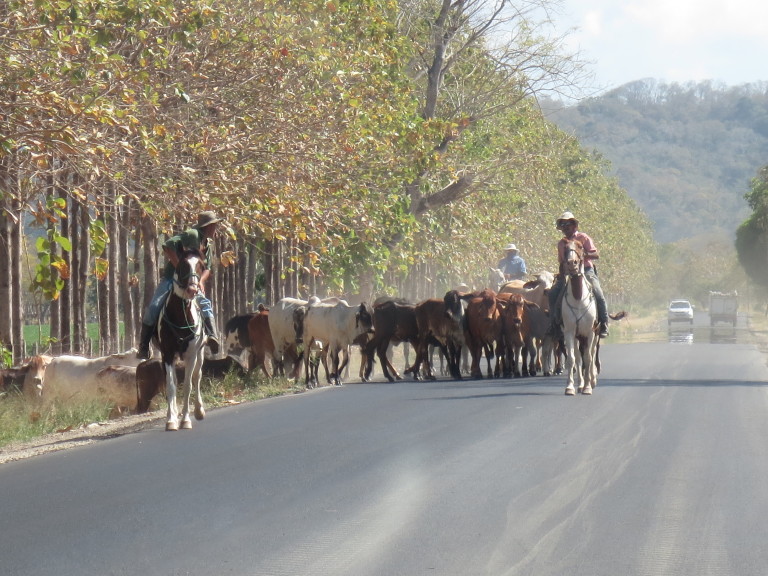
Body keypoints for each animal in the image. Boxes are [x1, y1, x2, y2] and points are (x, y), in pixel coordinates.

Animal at [158, 250, 208, 430]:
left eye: (201, 266)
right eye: (182, 265)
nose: (193, 289)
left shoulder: (192, 354)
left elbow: (187, 385)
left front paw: (186, 419)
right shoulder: (167, 353)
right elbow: (171, 385)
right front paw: (171, 420)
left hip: (200, 353)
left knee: (197, 376)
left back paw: (199, 411)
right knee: (172, 380)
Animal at [560, 240, 600, 396]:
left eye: (581, 246)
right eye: (565, 248)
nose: (572, 263)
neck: (578, 299)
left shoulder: (590, 332)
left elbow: (588, 358)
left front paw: (588, 387)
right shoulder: (569, 332)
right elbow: (572, 359)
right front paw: (570, 387)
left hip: (595, 335)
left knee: (592, 353)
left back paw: (592, 380)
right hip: (577, 337)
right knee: (578, 357)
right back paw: (581, 384)